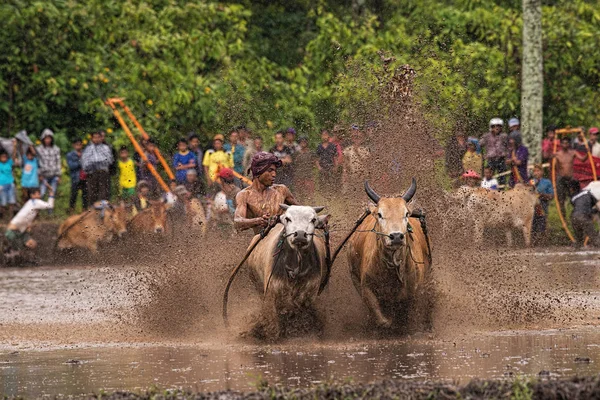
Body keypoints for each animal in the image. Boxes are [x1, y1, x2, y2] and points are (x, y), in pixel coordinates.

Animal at [346, 180, 432, 330]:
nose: (396, 236)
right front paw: (388, 322)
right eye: (380, 214)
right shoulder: (366, 288)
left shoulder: (414, 291)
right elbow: (381, 318)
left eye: (406, 214)